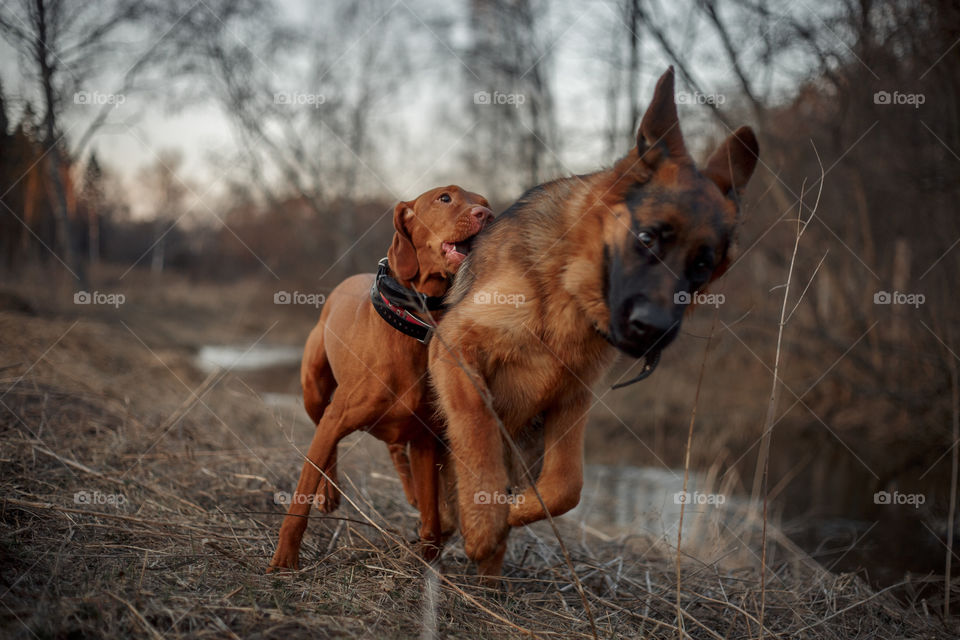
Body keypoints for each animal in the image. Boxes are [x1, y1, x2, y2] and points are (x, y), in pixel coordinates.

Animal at [272, 185, 492, 568]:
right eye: (444, 198)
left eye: (484, 201)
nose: (487, 215)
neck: (414, 322)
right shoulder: (337, 417)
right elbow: (303, 489)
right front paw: (285, 558)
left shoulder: (425, 438)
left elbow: (432, 518)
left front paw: (429, 559)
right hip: (315, 391)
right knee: (323, 442)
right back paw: (328, 493)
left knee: (395, 451)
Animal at [428, 67, 756, 576]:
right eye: (647, 238)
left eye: (702, 266)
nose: (653, 330)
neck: (565, 295)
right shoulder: (455, 342)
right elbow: (476, 420)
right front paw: (483, 519)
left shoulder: (572, 397)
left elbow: (567, 486)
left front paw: (510, 513)